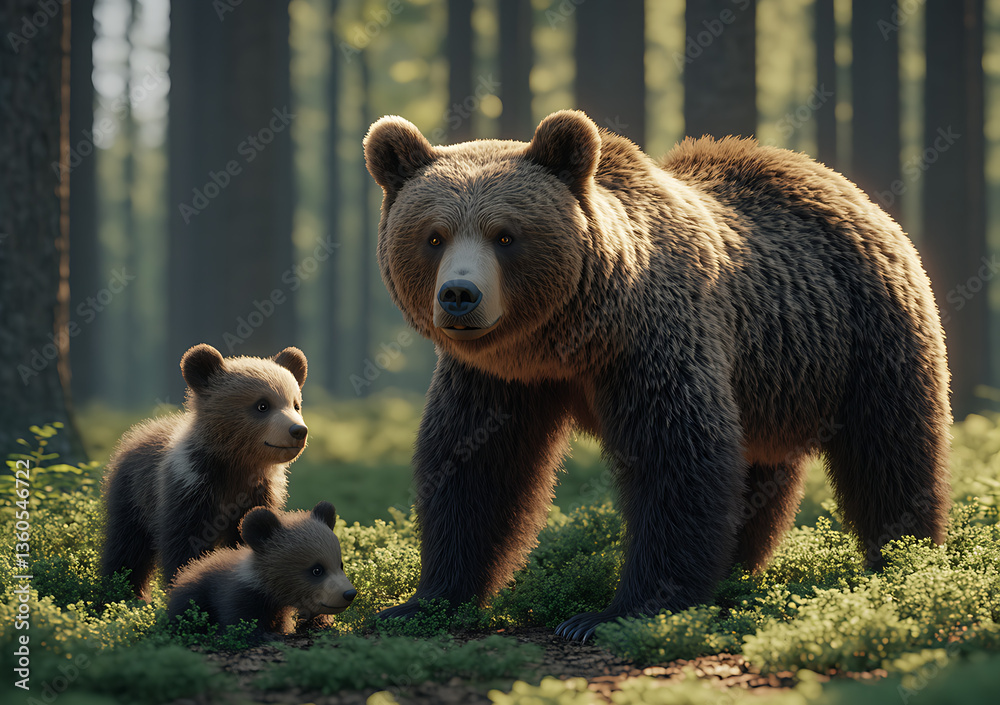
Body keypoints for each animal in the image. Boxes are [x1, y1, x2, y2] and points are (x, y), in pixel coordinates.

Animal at [101, 343, 309, 601]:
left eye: (295, 403)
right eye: (262, 405)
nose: (298, 430)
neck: (236, 465)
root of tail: (136, 433)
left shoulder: (259, 494)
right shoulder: (190, 489)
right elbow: (185, 544)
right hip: (133, 495)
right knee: (126, 546)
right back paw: (121, 592)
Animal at [362, 109, 952, 640]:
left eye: (505, 235)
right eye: (434, 236)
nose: (460, 295)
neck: (568, 339)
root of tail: (841, 183)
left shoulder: (652, 345)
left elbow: (677, 460)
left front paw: (608, 614)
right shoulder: (496, 380)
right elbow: (473, 467)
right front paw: (418, 604)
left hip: (863, 331)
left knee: (890, 450)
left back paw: (905, 559)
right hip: (772, 378)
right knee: (760, 471)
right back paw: (735, 573)